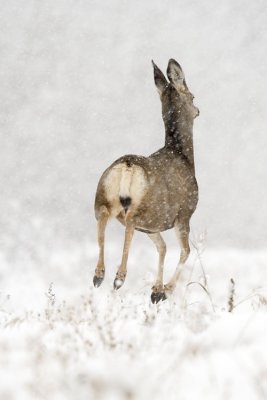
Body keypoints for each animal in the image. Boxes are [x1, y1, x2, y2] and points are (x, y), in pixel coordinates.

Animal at [93, 58, 200, 304]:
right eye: (192, 97)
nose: (198, 110)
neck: (182, 155)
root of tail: (127, 165)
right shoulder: (184, 214)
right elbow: (185, 251)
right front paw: (165, 290)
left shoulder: (152, 228)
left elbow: (162, 248)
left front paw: (156, 290)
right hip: (148, 207)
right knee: (130, 221)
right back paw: (119, 277)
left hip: (104, 197)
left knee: (103, 220)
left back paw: (99, 275)